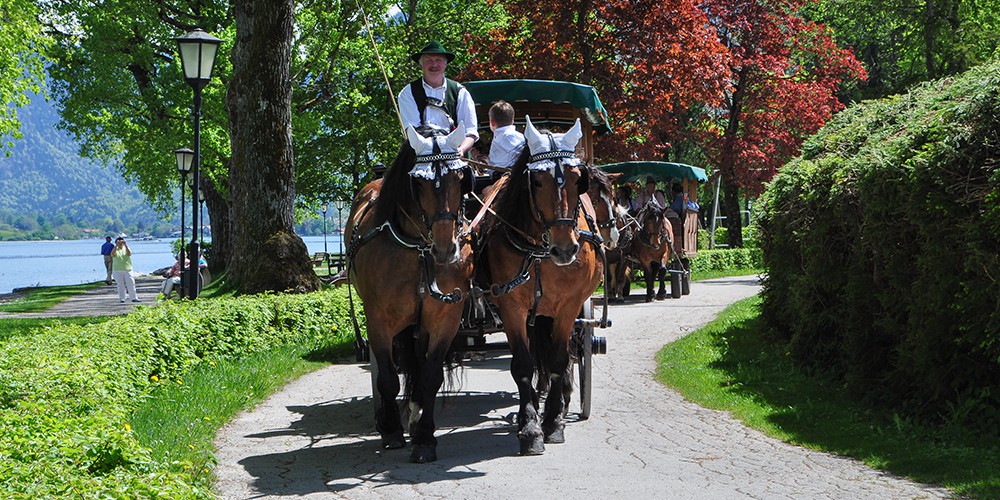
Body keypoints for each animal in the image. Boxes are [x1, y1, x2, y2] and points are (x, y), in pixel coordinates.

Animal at [346, 123, 474, 462]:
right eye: (418, 182)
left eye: (461, 178)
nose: (445, 249)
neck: (417, 250)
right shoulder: (378, 320)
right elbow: (388, 378)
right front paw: (391, 429)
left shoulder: (444, 319)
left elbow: (430, 377)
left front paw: (425, 437)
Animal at [476, 116, 600, 454]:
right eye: (537, 181)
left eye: (577, 179)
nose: (565, 249)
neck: (539, 251)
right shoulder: (511, 306)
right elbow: (523, 364)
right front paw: (530, 427)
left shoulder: (569, 305)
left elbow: (558, 360)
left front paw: (553, 422)